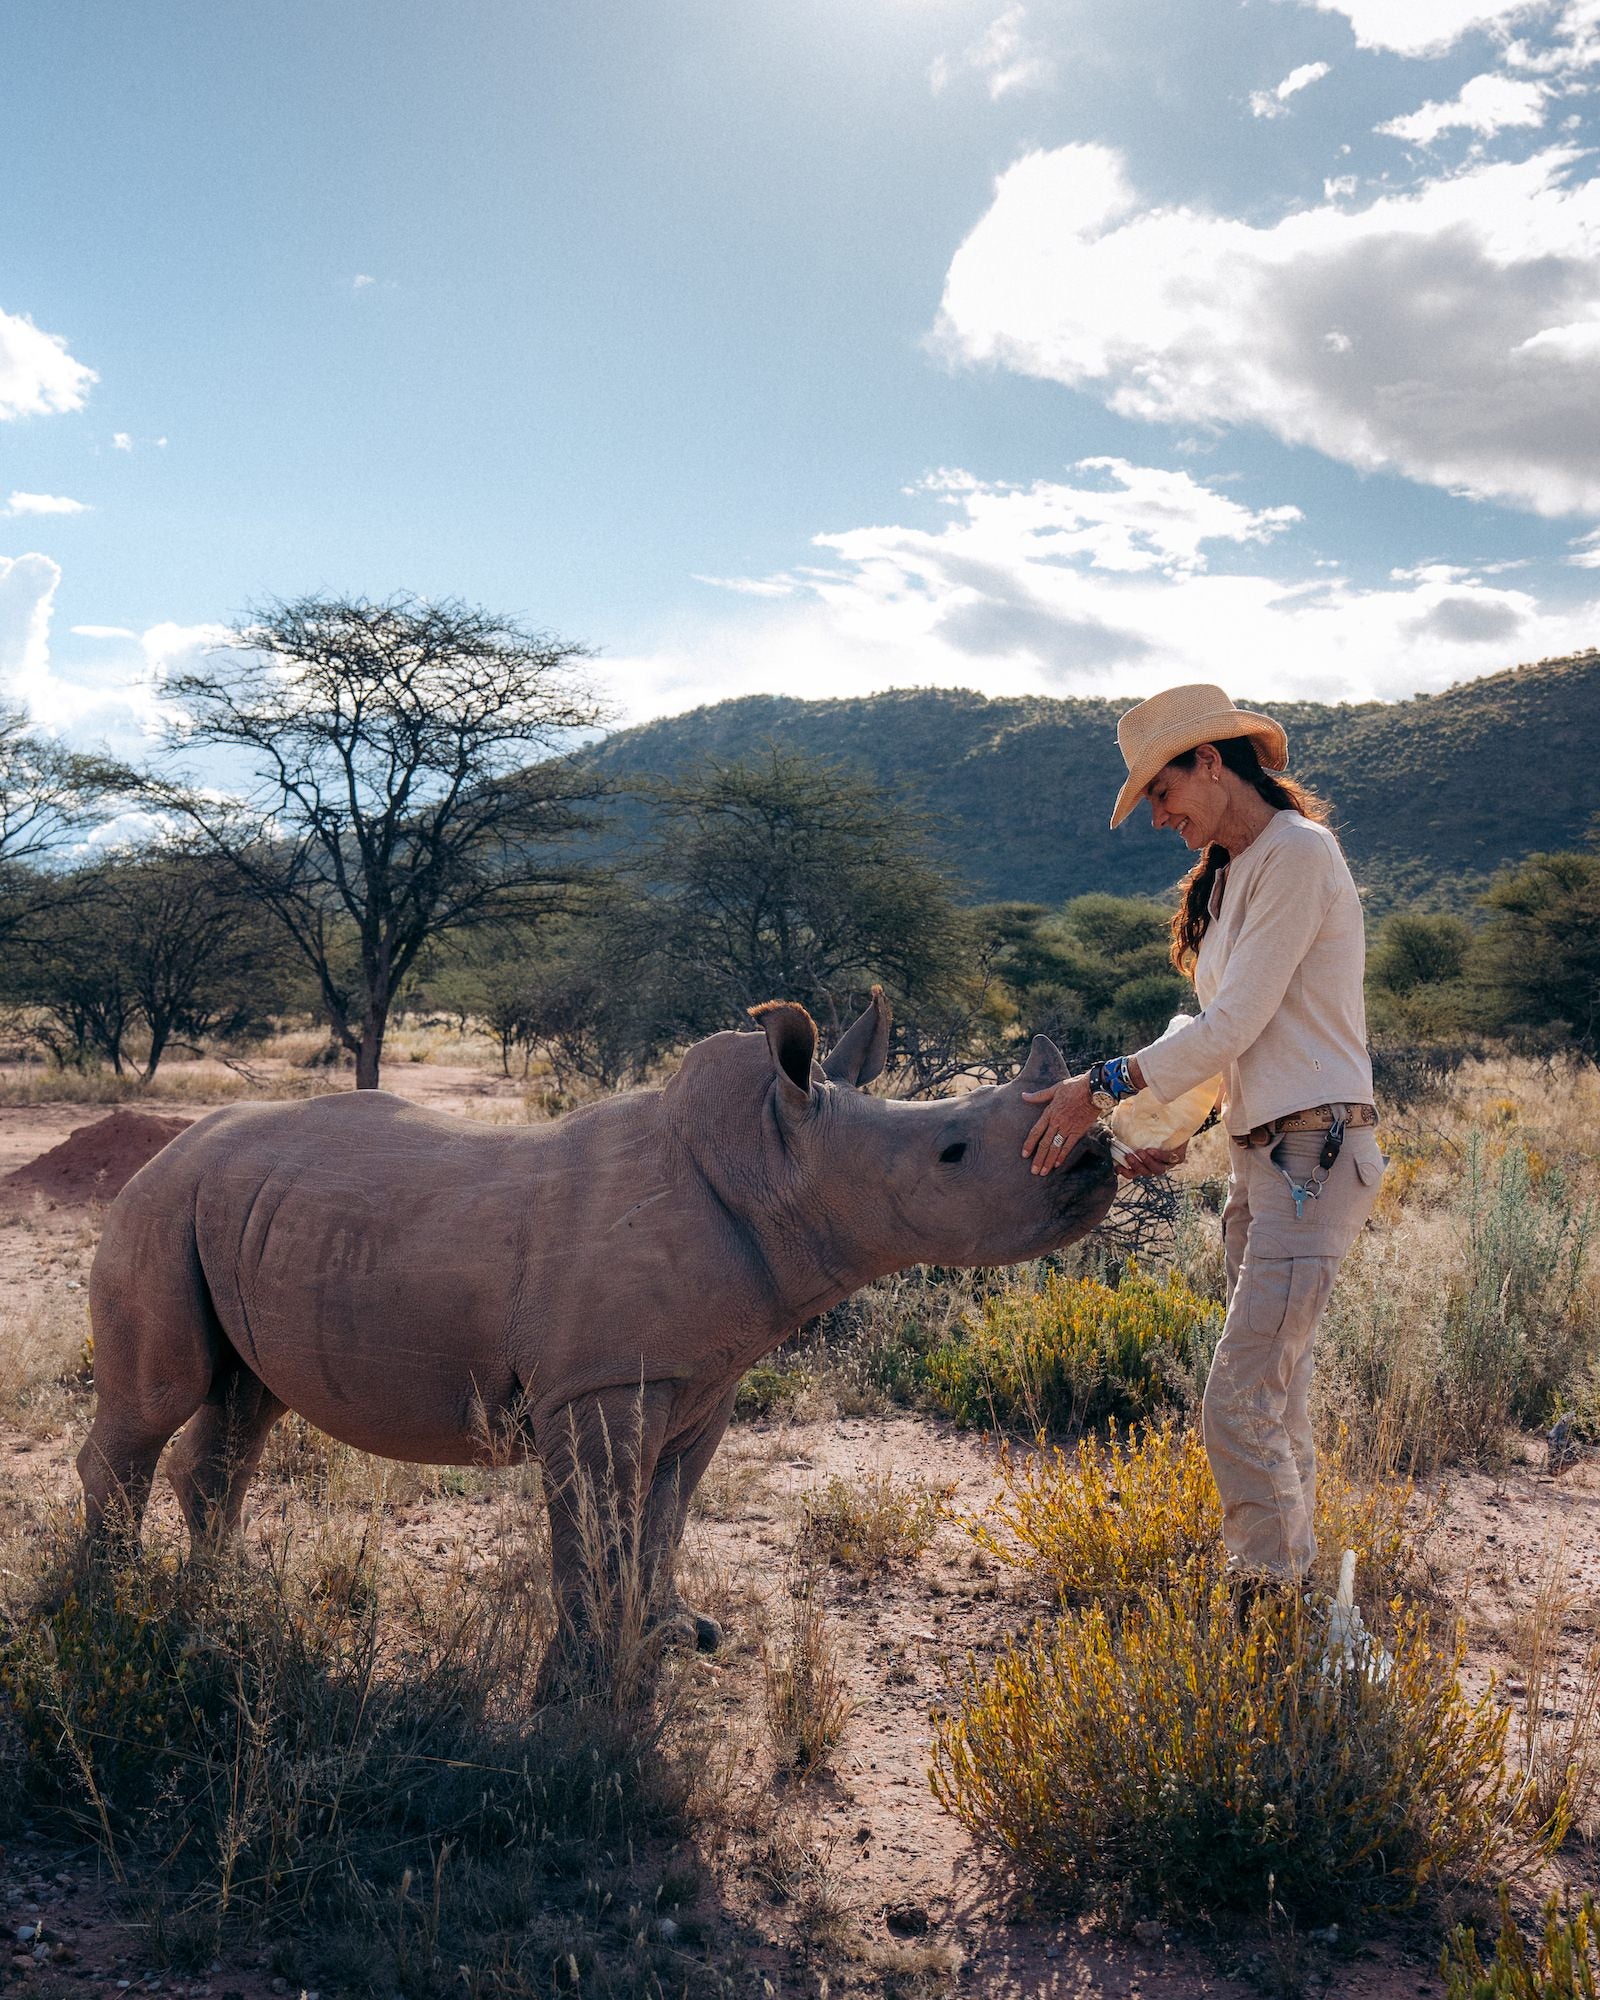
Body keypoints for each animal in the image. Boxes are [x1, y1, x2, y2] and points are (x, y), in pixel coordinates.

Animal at [80, 991, 1114, 1668]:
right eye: (952, 1155)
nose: (1094, 1158)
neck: (777, 1163)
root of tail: (168, 1147)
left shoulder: (701, 1379)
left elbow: (665, 1514)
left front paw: (677, 1635)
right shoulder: (600, 1382)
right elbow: (599, 1515)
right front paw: (586, 1663)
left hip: (237, 1212)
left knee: (246, 1402)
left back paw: (228, 1593)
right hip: (159, 1207)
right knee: (163, 1398)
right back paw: (114, 1602)